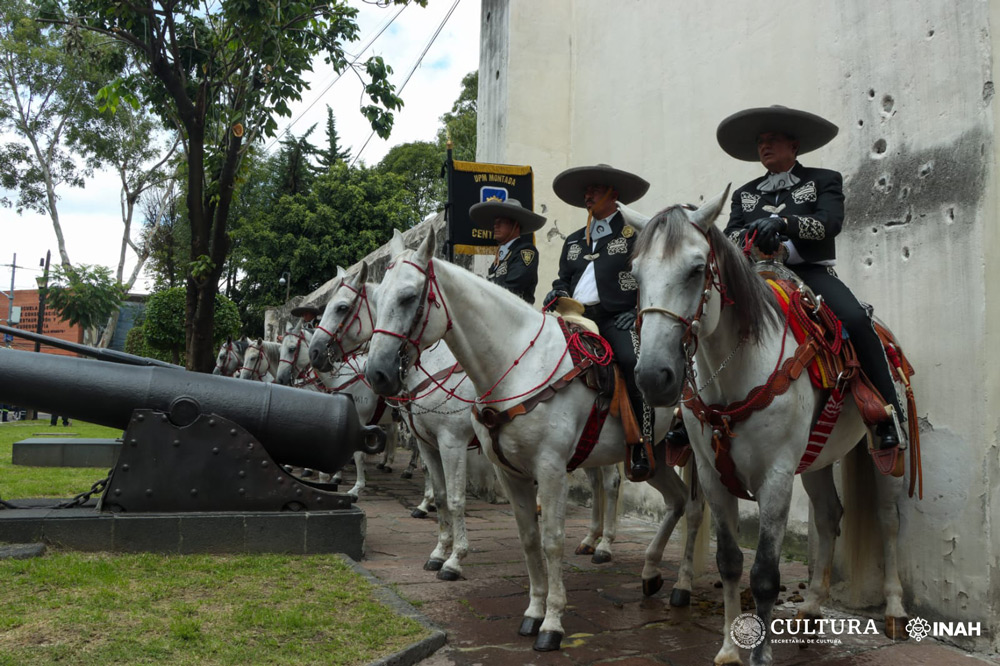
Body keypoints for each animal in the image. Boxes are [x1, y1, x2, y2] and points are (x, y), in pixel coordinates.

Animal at [360, 227, 704, 648]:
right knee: (675, 501)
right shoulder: (506, 471)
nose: (377, 373)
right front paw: (533, 611)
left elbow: (548, 539)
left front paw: (552, 622)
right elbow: (526, 538)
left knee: (691, 507)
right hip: (653, 455)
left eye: (409, 297)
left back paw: (678, 583)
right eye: (377, 300)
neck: (517, 367)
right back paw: (651, 572)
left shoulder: (541, 467)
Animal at [636, 187, 912, 664]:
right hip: (817, 457)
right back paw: (813, 607)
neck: (736, 371)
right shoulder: (712, 475)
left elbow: (765, 573)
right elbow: (730, 561)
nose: (654, 376)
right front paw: (729, 649)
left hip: (884, 457)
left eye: (696, 269)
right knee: (829, 515)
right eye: (635, 274)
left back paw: (894, 609)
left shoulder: (777, 476)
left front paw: (760, 655)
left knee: (888, 520)